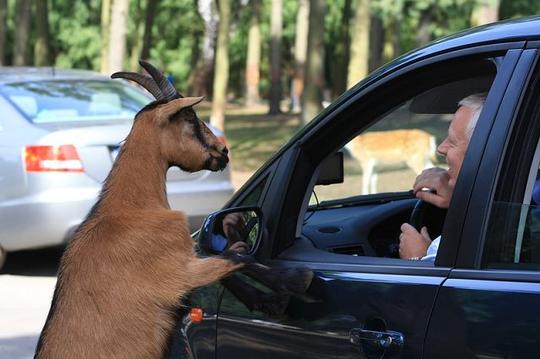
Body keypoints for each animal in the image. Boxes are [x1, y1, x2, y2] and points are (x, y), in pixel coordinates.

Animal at [33, 60, 310, 358]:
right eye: (189, 117)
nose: (223, 151)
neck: (132, 208)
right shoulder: (178, 274)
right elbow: (235, 259)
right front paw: (296, 279)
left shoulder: (185, 267)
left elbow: (230, 259)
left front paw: (268, 300)